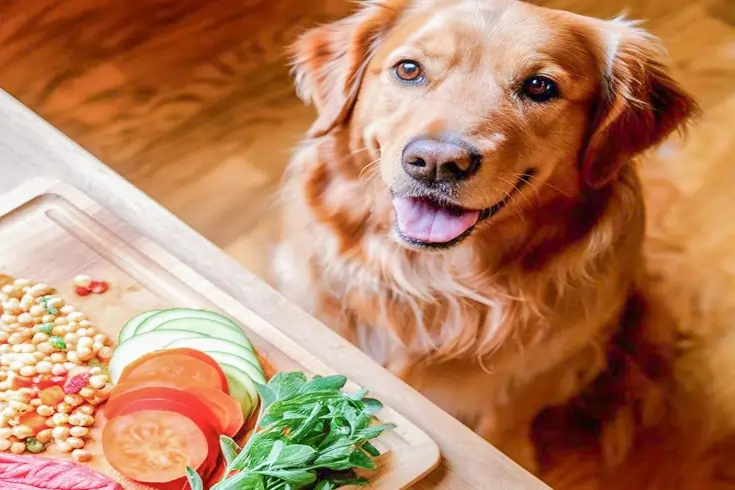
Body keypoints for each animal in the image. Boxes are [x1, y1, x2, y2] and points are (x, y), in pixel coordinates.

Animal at [274, 0, 700, 474]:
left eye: (539, 86)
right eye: (408, 69)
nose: (436, 163)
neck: (433, 285)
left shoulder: (537, 370)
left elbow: (503, 426)